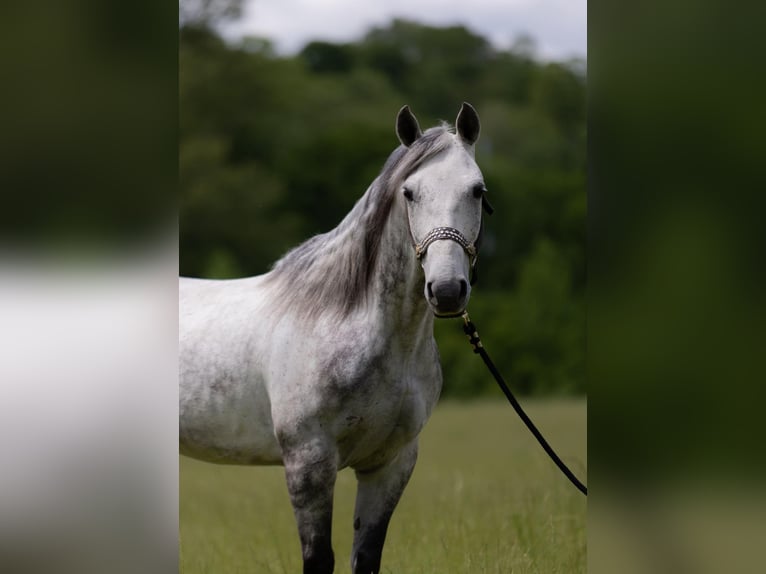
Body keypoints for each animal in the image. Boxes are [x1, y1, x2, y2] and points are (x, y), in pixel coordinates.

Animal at [181, 103, 488, 574]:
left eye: (476, 190)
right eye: (409, 193)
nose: (448, 289)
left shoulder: (390, 464)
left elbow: (366, 558)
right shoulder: (309, 462)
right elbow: (318, 558)